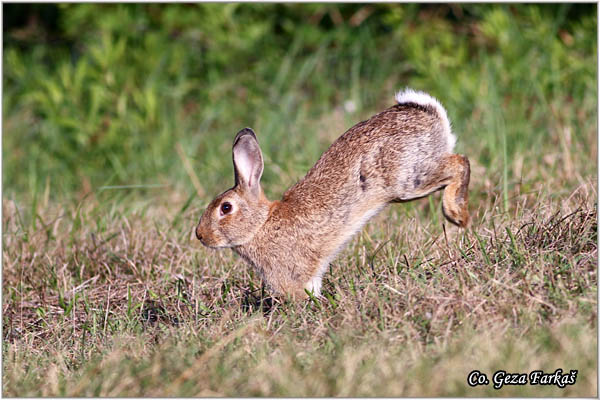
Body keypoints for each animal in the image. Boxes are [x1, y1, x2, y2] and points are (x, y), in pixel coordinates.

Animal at [196, 88, 468, 300]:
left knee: (460, 162)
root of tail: (429, 114)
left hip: (409, 179)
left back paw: (457, 214)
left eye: (226, 208)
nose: (200, 235)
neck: (260, 224)